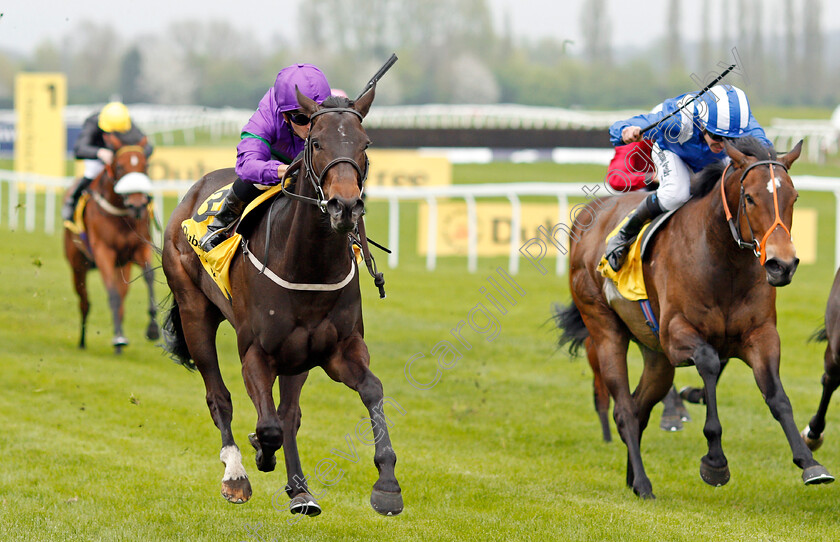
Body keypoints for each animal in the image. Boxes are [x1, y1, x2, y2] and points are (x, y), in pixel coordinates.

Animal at [62, 133, 159, 354]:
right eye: (120, 166)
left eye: (145, 166)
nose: (138, 205)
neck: (121, 214)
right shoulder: (103, 251)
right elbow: (112, 295)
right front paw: (118, 339)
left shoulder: (140, 248)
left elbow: (149, 277)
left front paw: (152, 328)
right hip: (77, 265)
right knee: (85, 303)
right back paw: (83, 341)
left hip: (122, 266)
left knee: (122, 298)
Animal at [160, 88, 404, 520]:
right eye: (317, 143)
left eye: (365, 144)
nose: (345, 206)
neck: (309, 265)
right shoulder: (256, 352)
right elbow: (267, 425)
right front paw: (258, 451)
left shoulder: (339, 350)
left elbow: (372, 392)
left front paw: (387, 484)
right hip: (194, 312)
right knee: (219, 397)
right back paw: (236, 473)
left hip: (297, 356)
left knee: (289, 414)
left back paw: (300, 490)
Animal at [552, 138, 832, 500]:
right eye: (749, 197)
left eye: (793, 197)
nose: (781, 264)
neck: (723, 262)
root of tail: (590, 213)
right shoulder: (677, 336)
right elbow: (710, 363)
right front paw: (715, 461)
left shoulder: (761, 334)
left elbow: (777, 396)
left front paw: (809, 461)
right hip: (604, 328)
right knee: (624, 409)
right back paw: (644, 484)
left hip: (655, 354)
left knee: (640, 406)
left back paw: (633, 478)